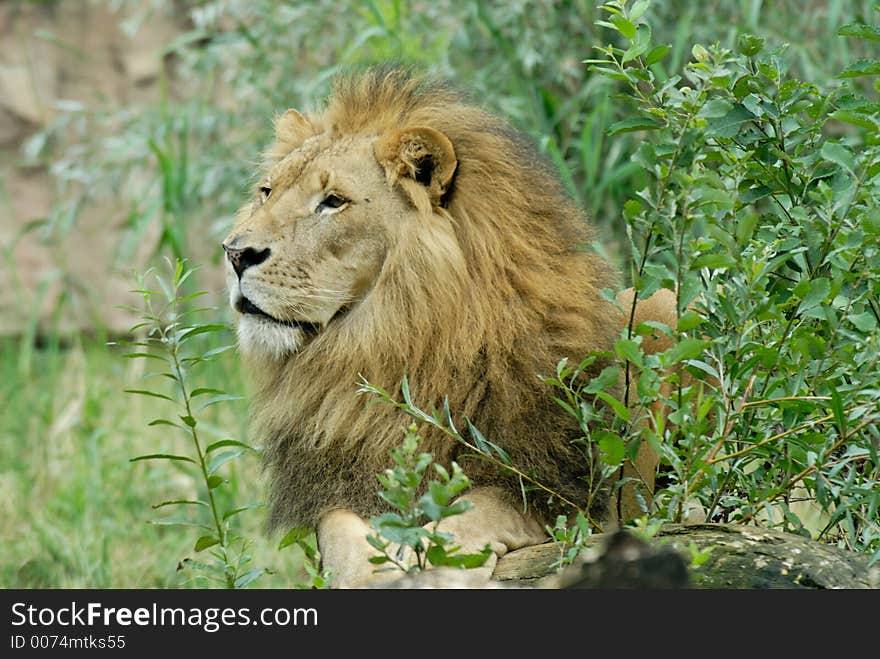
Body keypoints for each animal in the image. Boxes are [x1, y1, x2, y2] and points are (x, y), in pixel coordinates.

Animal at [223, 67, 676, 588]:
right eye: (267, 192)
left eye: (333, 202)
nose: (234, 253)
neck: (391, 345)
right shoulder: (340, 484)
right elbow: (340, 536)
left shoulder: (563, 492)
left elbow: (475, 514)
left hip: (661, 306)